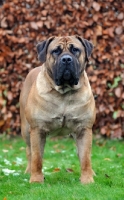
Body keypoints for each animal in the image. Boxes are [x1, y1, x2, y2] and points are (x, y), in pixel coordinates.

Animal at [19, 35, 96, 184]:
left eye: (75, 49)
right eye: (56, 51)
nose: (66, 59)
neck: (64, 92)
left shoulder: (84, 129)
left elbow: (85, 157)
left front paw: (87, 180)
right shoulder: (37, 129)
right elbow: (37, 158)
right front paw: (36, 180)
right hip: (26, 129)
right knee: (29, 151)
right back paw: (28, 172)